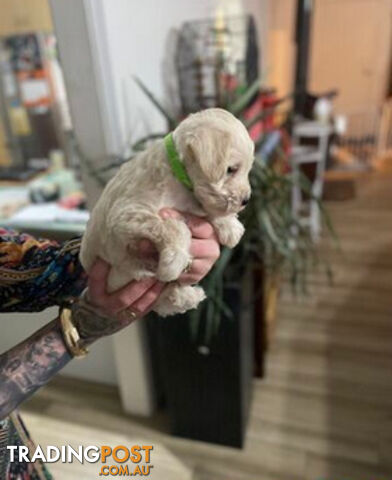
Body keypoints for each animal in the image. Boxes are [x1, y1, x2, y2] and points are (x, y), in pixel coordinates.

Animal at [81, 109, 256, 316]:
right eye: (231, 169)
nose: (246, 200)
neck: (177, 174)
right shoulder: (127, 213)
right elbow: (173, 227)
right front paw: (174, 262)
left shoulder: (191, 203)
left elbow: (205, 208)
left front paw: (230, 227)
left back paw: (188, 296)